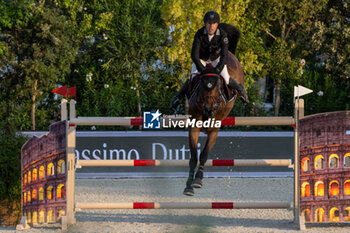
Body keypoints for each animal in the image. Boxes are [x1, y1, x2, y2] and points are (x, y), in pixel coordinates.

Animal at [185, 52, 245, 196]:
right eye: (201, 84)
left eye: (217, 85)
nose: (209, 108)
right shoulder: (194, 128)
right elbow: (193, 157)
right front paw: (189, 186)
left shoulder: (214, 131)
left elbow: (204, 155)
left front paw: (198, 179)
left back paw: (242, 92)